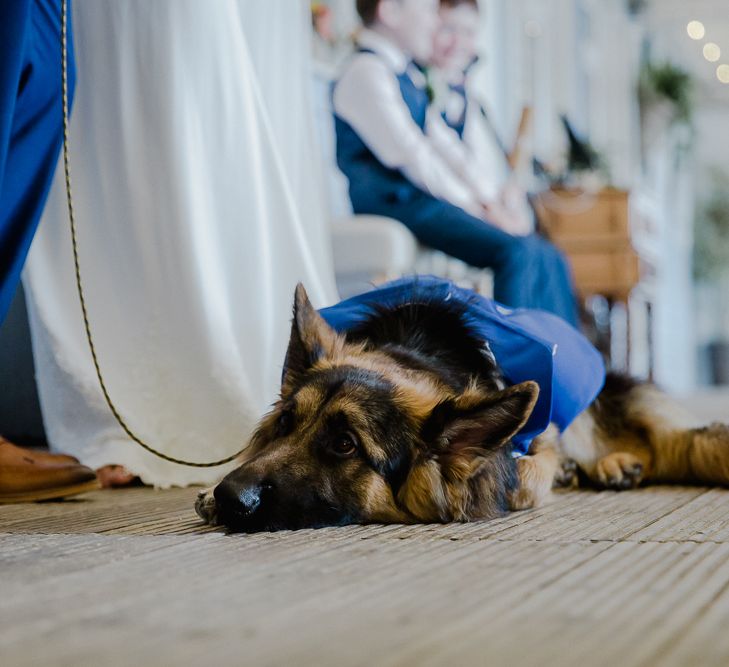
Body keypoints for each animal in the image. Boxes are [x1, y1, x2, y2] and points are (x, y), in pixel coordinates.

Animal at [195, 286, 728, 532]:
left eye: (345, 445)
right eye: (286, 421)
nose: (229, 496)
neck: (419, 355)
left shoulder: (534, 443)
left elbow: (522, 475)